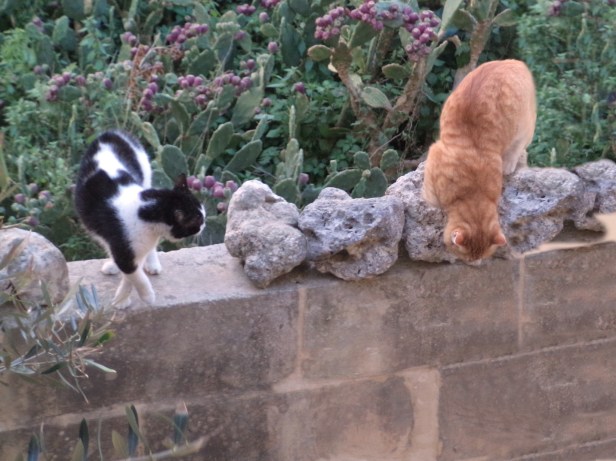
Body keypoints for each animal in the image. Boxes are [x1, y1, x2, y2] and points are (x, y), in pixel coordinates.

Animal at [74, 130, 205, 307]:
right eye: (197, 221)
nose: (204, 224)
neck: (143, 212)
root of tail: (111, 133)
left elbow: (132, 275)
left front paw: (122, 298)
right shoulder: (124, 246)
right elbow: (134, 274)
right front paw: (145, 296)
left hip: (145, 173)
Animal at [422, 59, 536, 262]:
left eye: (476, 258)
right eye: (468, 259)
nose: (474, 264)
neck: (471, 190)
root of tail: (514, 61)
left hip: (523, 129)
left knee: (517, 148)